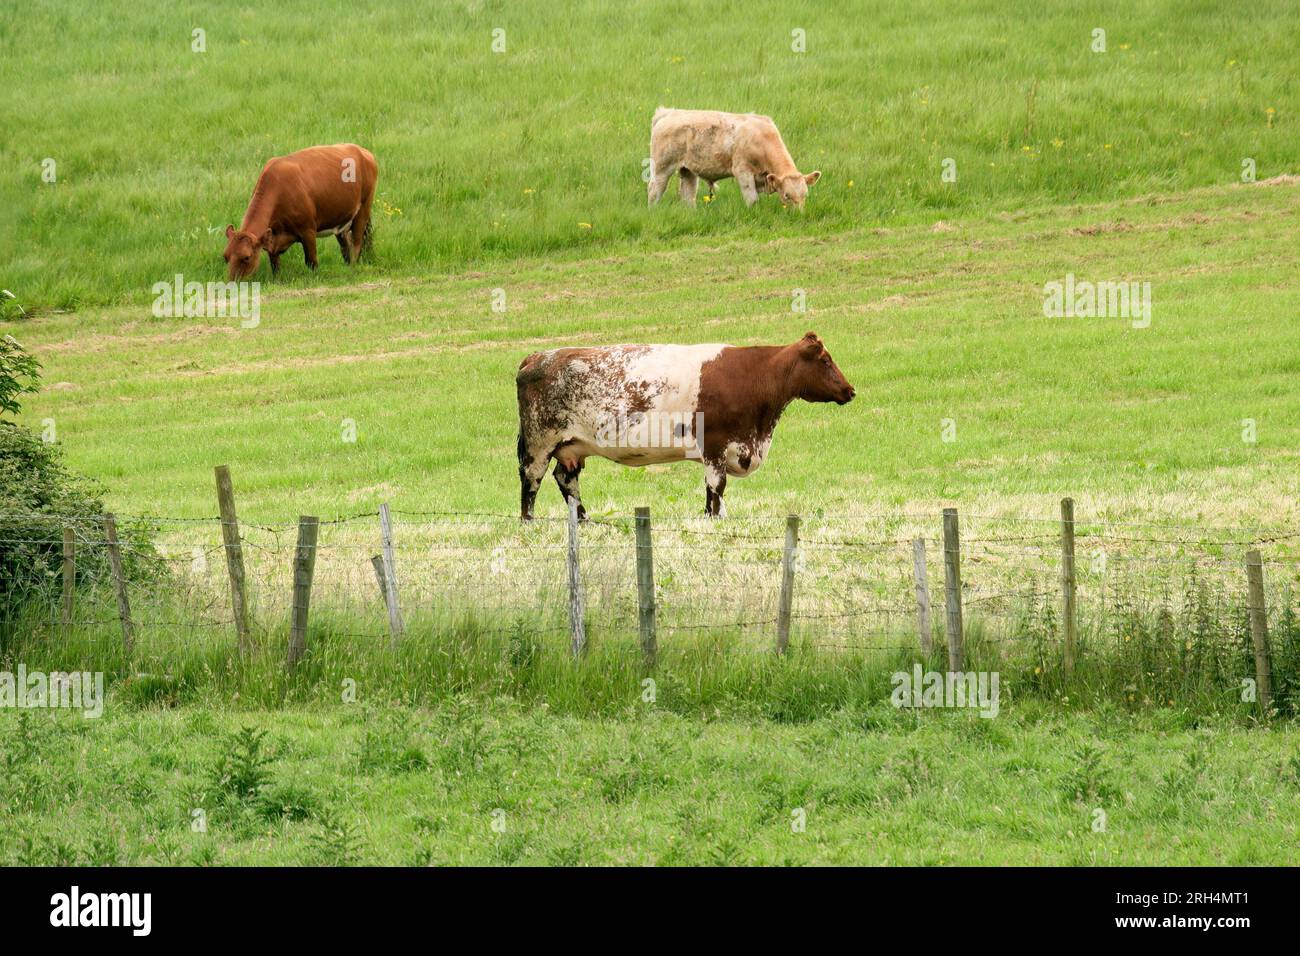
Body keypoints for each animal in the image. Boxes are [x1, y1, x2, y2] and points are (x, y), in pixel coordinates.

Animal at [223, 144, 377, 280]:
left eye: (247, 257)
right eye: (225, 256)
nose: (233, 282)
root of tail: (362, 150)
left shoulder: (308, 230)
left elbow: (311, 261)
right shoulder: (272, 239)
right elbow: (275, 264)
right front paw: (277, 280)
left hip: (364, 208)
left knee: (357, 242)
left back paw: (353, 268)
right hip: (342, 219)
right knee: (346, 245)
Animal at [516, 333, 854, 520]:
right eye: (825, 361)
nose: (851, 390)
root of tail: (538, 355)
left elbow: (711, 489)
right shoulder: (715, 446)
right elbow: (716, 487)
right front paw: (714, 518)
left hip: (571, 448)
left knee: (566, 480)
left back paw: (585, 519)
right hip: (539, 442)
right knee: (532, 480)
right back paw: (528, 520)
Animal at [648, 107, 821, 209]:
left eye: (805, 195)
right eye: (787, 195)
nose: (798, 214)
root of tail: (668, 112)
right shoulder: (742, 171)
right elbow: (752, 199)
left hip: (688, 170)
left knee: (687, 195)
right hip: (662, 167)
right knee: (654, 190)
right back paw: (653, 210)